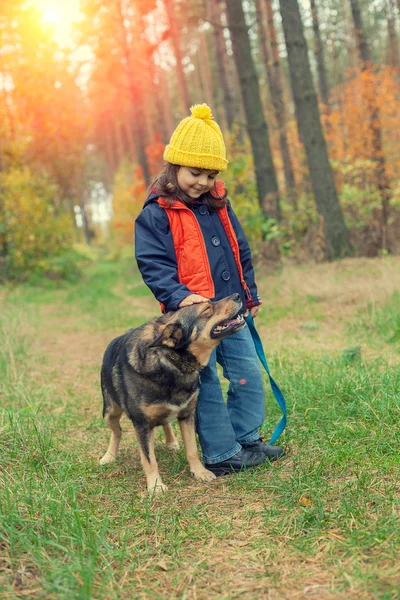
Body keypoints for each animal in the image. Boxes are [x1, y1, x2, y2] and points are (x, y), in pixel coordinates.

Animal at [98, 290, 245, 492]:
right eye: (207, 309)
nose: (238, 295)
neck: (169, 361)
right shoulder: (142, 424)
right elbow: (149, 459)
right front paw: (155, 486)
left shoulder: (187, 414)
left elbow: (192, 450)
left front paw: (199, 472)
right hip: (109, 412)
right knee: (117, 431)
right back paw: (109, 456)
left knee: (164, 422)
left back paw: (171, 441)